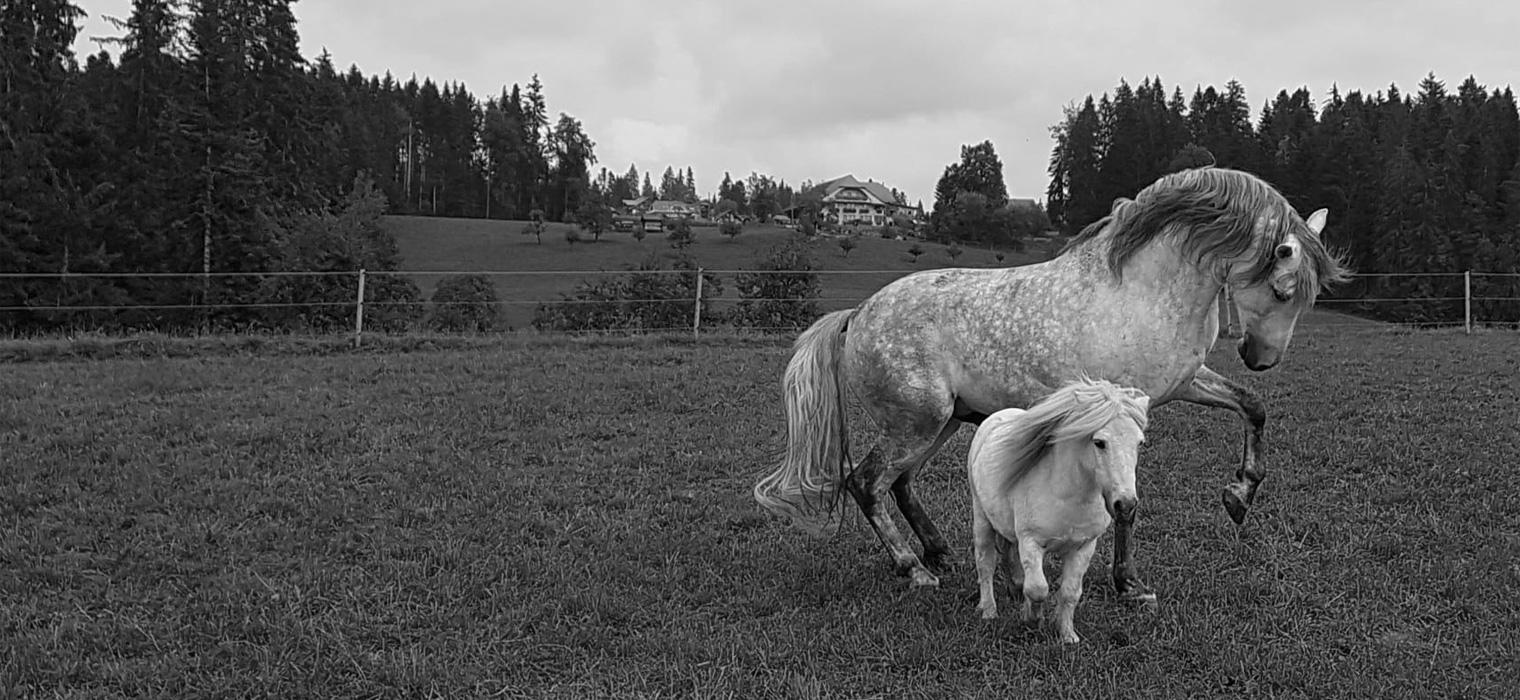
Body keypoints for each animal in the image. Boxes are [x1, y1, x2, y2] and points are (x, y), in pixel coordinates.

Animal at [753, 164, 1349, 601]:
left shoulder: (1183, 383)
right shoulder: (1122, 414)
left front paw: (1239, 495)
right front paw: (1129, 585)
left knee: (899, 484)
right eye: (1282, 290)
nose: (1261, 357)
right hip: (916, 422)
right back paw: (914, 569)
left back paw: (939, 552)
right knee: (867, 483)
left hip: (941, 423)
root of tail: (858, 314)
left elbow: (1253, 407)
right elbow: (1125, 501)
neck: (1142, 290)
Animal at [966, 379, 1143, 640]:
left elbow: (1070, 592)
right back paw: (988, 611)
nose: (1126, 503)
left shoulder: (1084, 547)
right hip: (982, 519)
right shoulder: (1031, 542)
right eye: (1099, 443)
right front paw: (1032, 620)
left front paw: (1067, 635)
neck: (1067, 497)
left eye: (1140, 443)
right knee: (985, 563)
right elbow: (1038, 588)